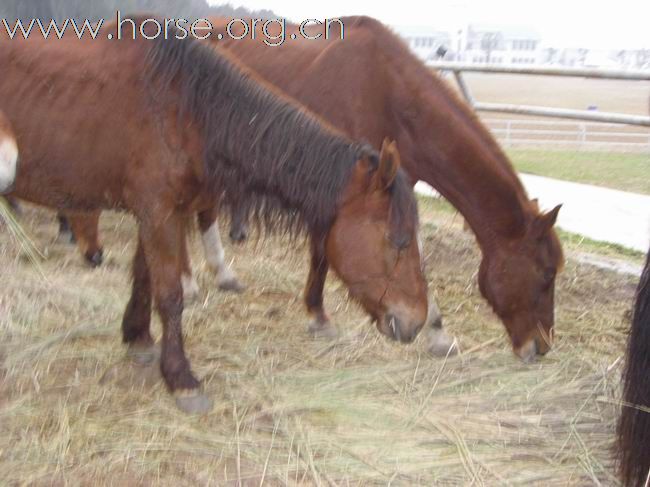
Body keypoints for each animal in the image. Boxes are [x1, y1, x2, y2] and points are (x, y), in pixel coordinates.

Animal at [2, 20, 428, 416]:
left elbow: (144, 278)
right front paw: (181, 378)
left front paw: (137, 338)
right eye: (399, 240)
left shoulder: (159, 213)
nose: (418, 322)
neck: (184, 109)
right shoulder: (158, 212)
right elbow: (170, 296)